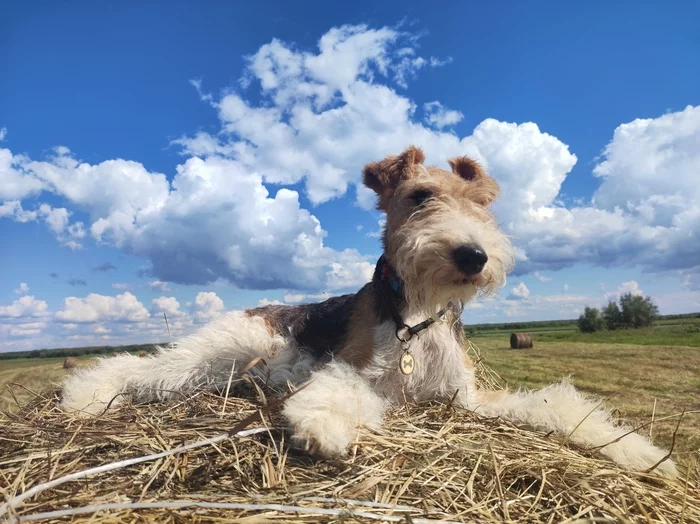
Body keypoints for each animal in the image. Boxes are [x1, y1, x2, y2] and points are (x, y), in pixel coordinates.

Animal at [61, 147, 680, 478]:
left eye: (482, 207)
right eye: (420, 197)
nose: (472, 255)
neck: (419, 316)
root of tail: (265, 307)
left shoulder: (467, 400)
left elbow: (556, 406)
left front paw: (641, 452)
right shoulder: (360, 372)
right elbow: (338, 392)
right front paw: (322, 426)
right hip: (222, 349)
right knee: (139, 367)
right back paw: (85, 394)